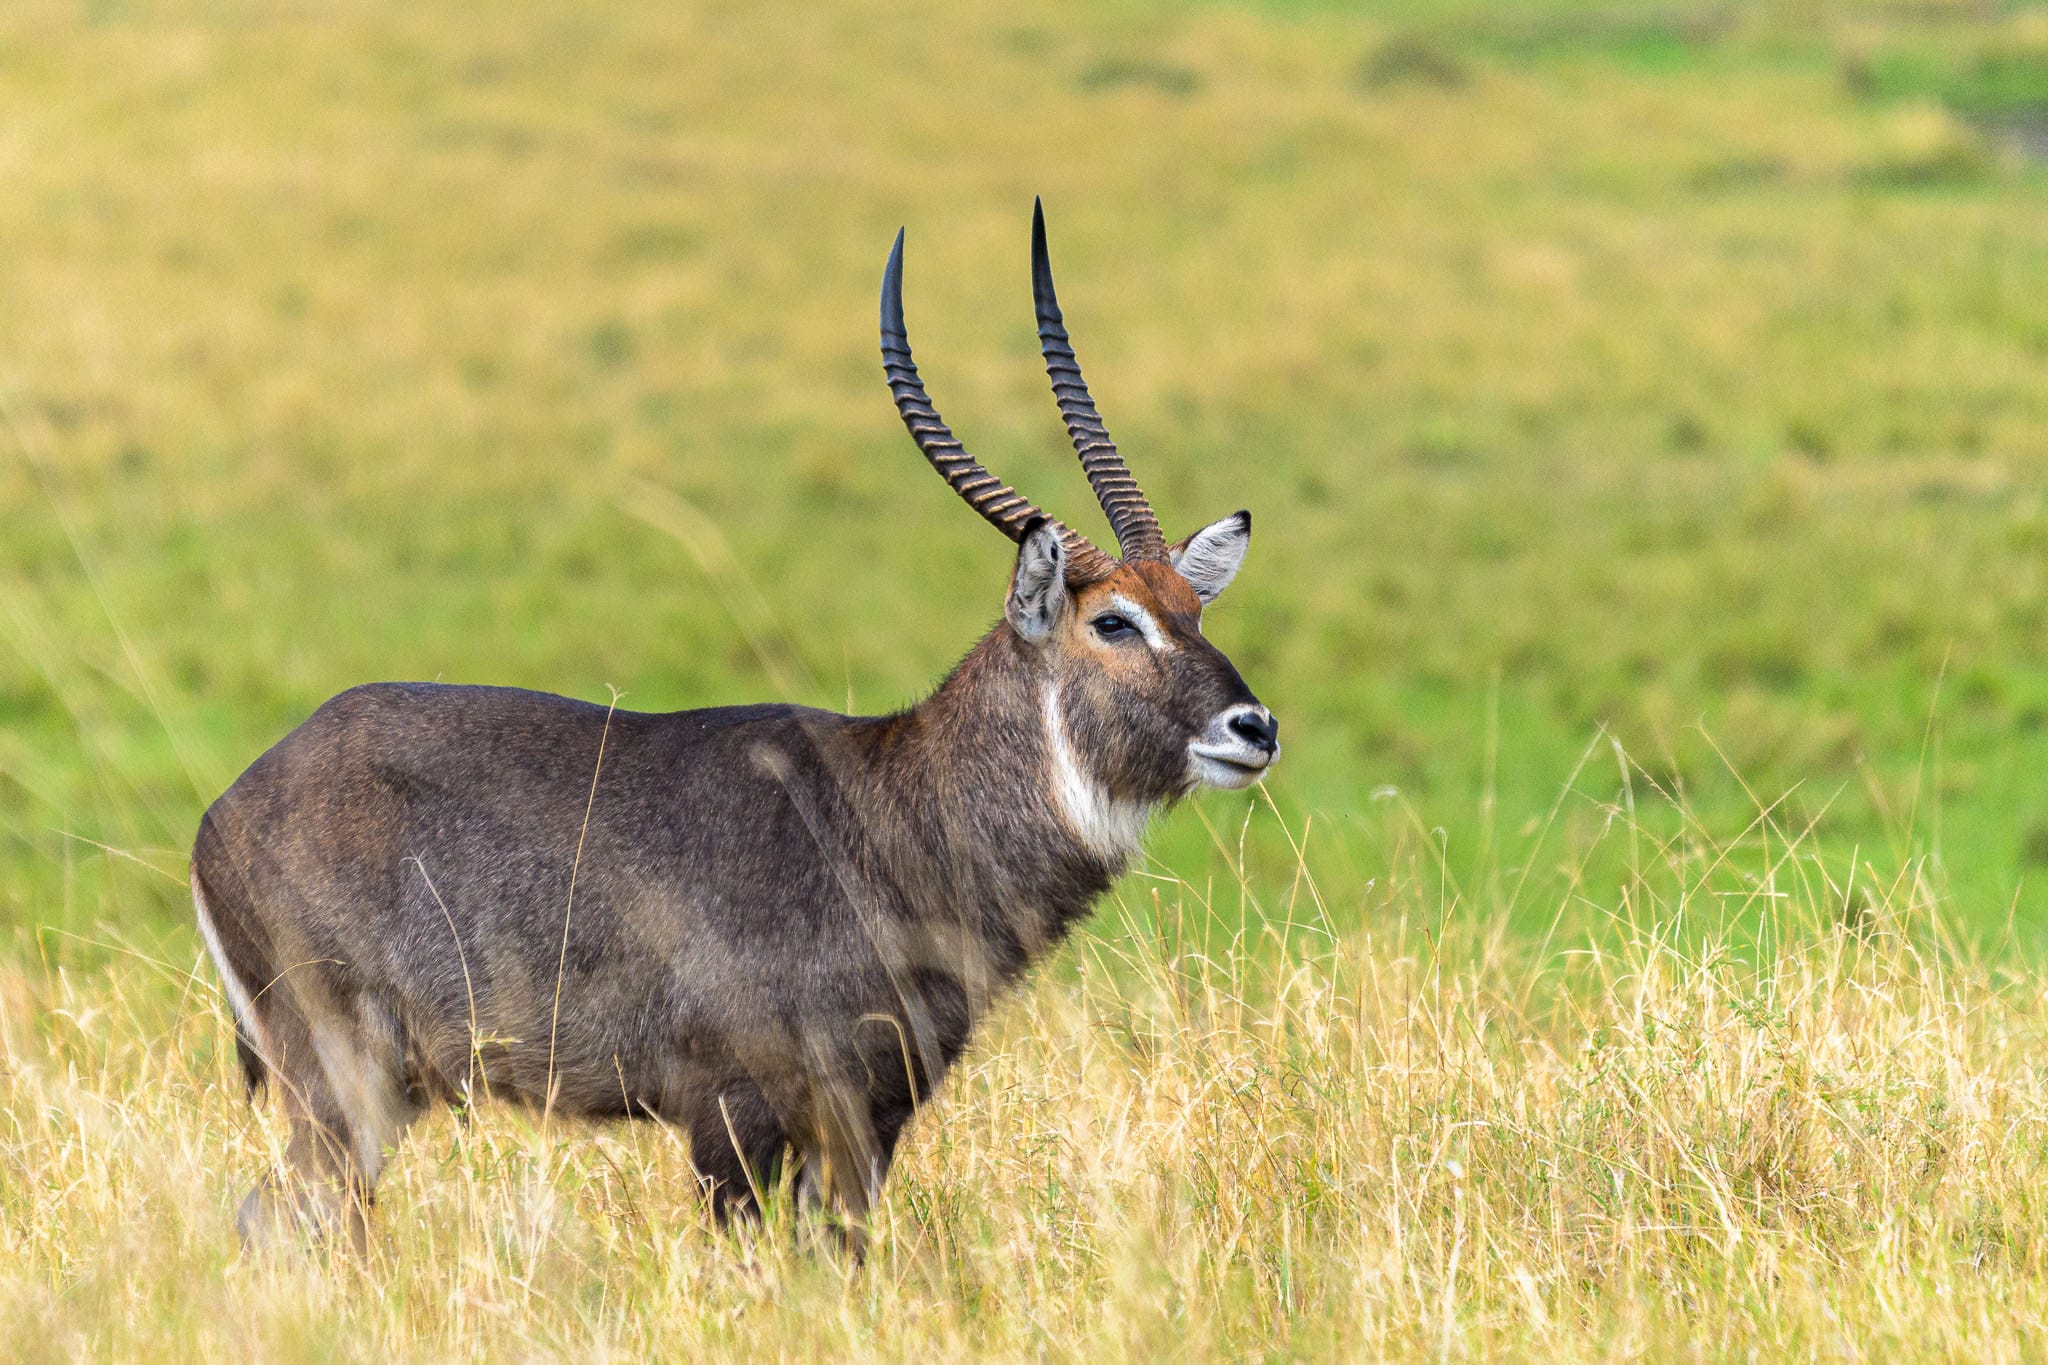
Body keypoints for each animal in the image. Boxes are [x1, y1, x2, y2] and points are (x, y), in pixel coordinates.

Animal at [191, 201, 1279, 1250]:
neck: (893, 810)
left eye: (1193, 609)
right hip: (343, 1077)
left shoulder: (870, 1118)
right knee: (278, 1220)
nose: (1254, 726)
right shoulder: (733, 1112)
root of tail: (223, 809)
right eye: (1114, 621)